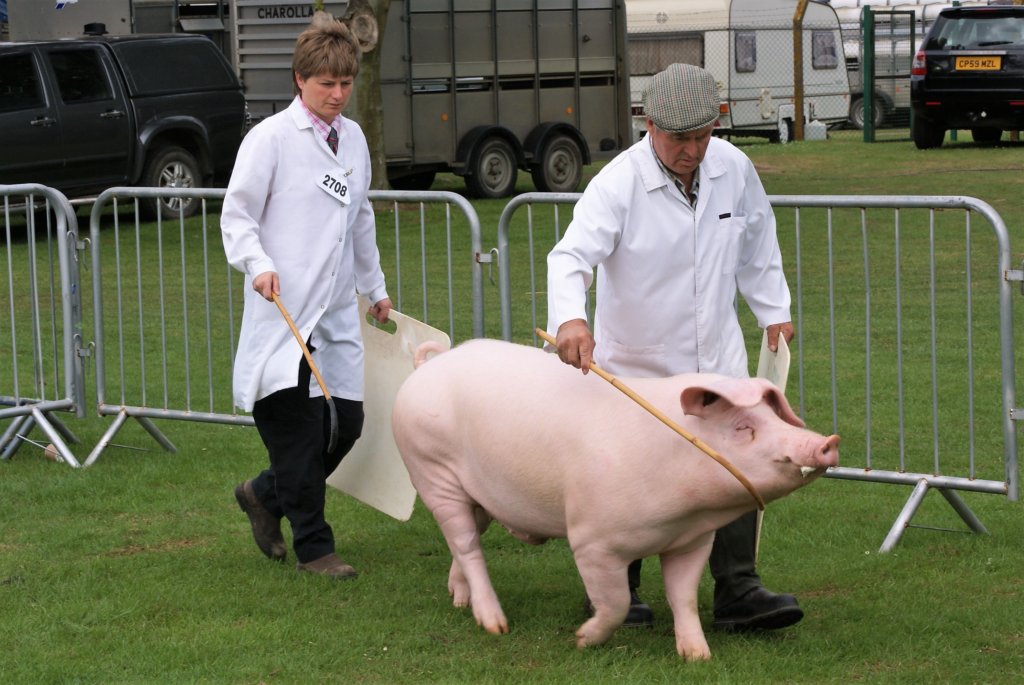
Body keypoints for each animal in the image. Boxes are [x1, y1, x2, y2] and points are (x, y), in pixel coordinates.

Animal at [393, 339, 839, 659]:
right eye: (743, 427)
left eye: (774, 416)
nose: (828, 442)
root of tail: (427, 366)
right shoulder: (593, 541)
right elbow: (616, 602)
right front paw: (582, 640)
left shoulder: (692, 542)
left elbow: (683, 597)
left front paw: (698, 656)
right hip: (433, 471)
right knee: (466, 544)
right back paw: (495, 624)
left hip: (480, 496)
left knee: (463, 542)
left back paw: (459, 601)